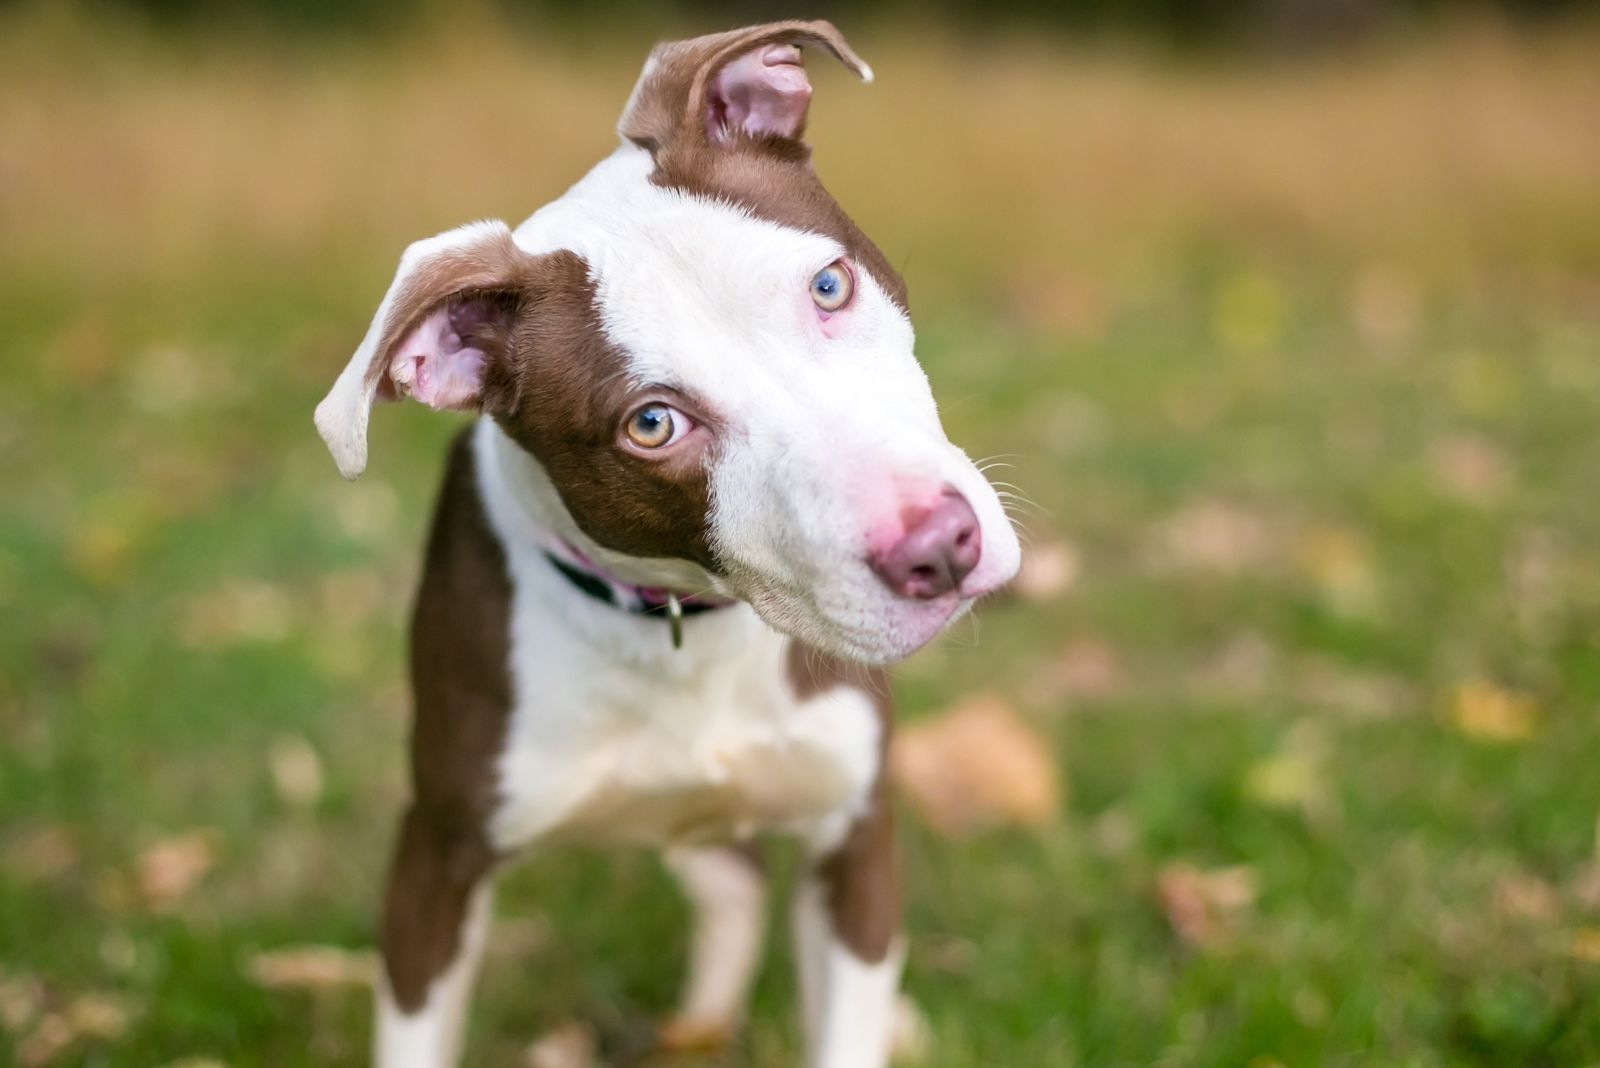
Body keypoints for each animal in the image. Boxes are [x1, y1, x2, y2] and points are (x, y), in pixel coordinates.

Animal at [313, 18, 1024, 1068]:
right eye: (652, 425)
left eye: (830, 284)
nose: (939, 547)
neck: (680, 621)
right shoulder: (436, 861)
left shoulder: (852, 832)